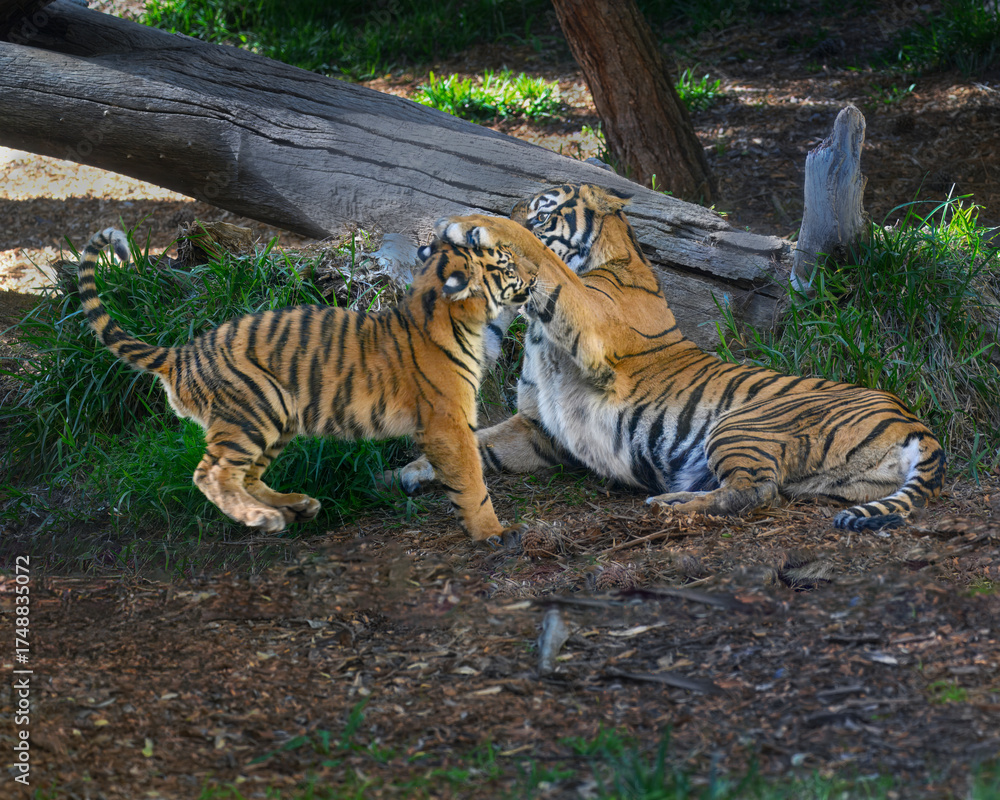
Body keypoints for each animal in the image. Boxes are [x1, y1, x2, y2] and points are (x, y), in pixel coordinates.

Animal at [76, 228, 535, 540]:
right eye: (507, 265)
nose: (535, 274)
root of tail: (180, 354)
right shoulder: (448, 422)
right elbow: (471, 479)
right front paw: (493, 532)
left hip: (275, 419)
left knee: (244, 476)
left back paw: (295, 506)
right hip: (252, 411)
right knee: (212, 474)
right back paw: (263, 517)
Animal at [397, 183, 945, 531]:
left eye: (540, 212)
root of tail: (911, 418)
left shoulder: (587, 324)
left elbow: (543, 258)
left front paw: (471, 223)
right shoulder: (538, 429)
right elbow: (479, 444)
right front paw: (405, 473)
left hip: (742, 424)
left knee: (755, 492)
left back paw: (668, 507)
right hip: (834, 480)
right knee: (761, 489)